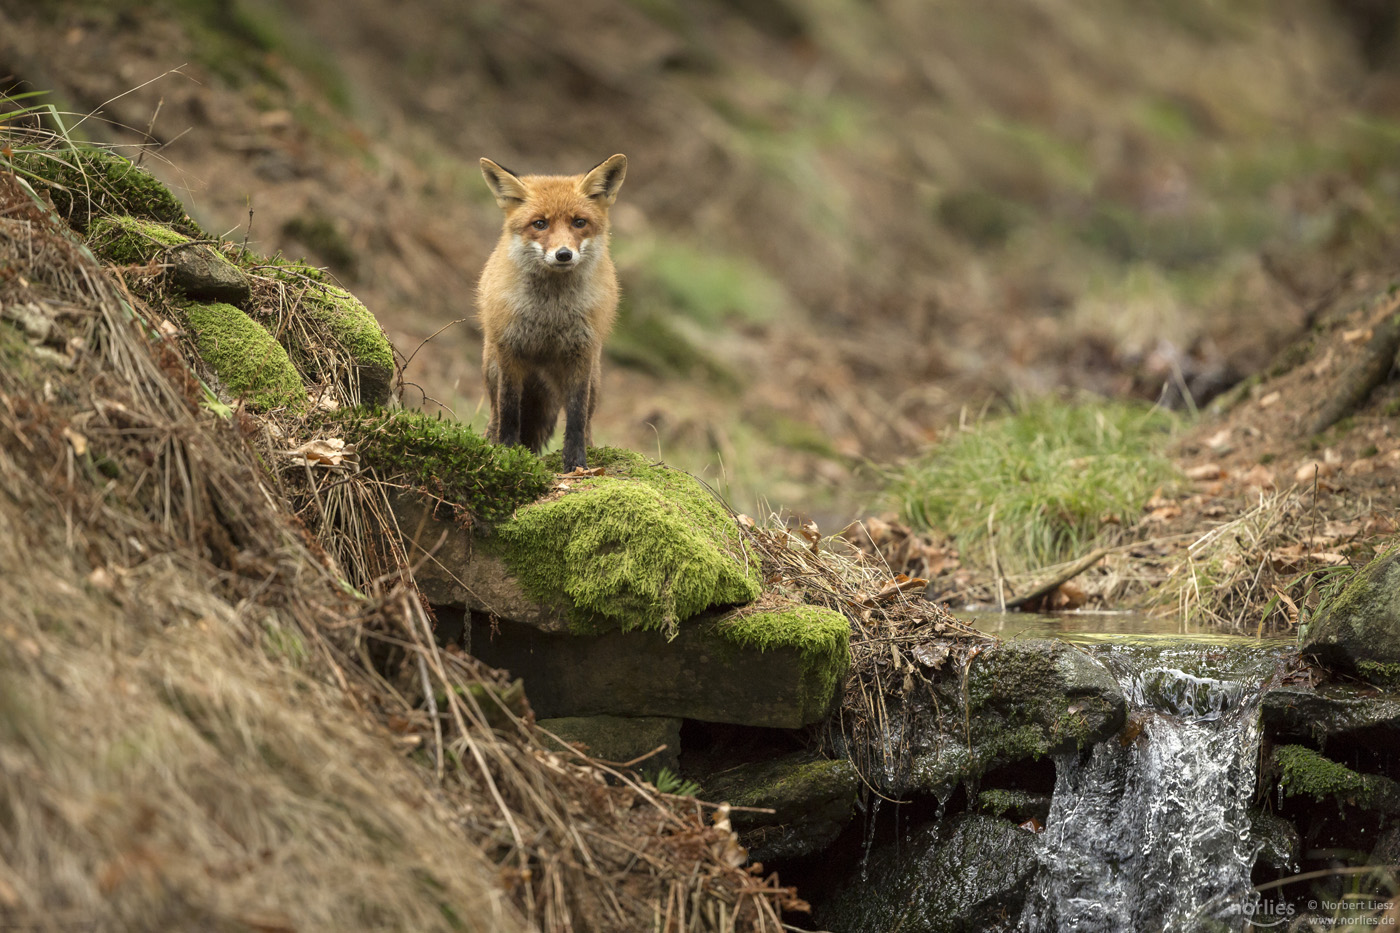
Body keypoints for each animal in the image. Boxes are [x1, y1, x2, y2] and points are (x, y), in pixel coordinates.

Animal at [476, 156, 630, 473]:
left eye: (579, 222)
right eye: (540, 223)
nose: (563, 254)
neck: (550, 315)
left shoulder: (581, 352)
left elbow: (576, 417)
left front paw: (576, 463)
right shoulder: (509, 350)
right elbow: (509, 411)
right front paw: (507, 453)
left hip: (594, 380)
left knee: (588, 422)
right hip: (492, 368)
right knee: (496, 415)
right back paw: (491, 443)